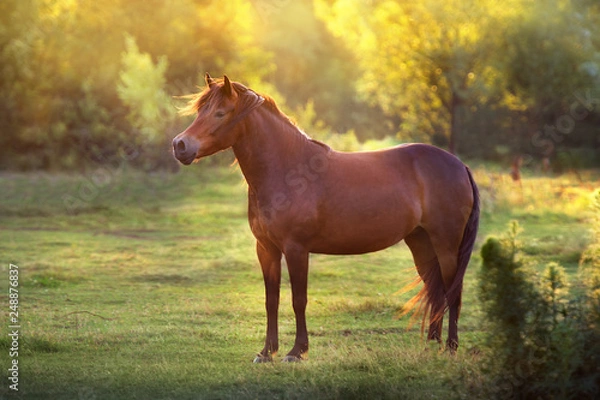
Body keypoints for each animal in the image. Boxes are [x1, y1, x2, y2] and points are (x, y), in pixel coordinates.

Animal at [172, 74, 478, 362]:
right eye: (200, 111)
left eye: (220, 113)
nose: (180, 145)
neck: (288, 171)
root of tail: (460, 165)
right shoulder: (266, 249)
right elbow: (271, 300)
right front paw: (266, 352)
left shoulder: (296, 249)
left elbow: (298, 299)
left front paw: (296, 351)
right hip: (421, 242)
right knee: (435, 290)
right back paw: (432, 344)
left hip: (446, 245)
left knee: (453, 292)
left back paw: (450, 347)